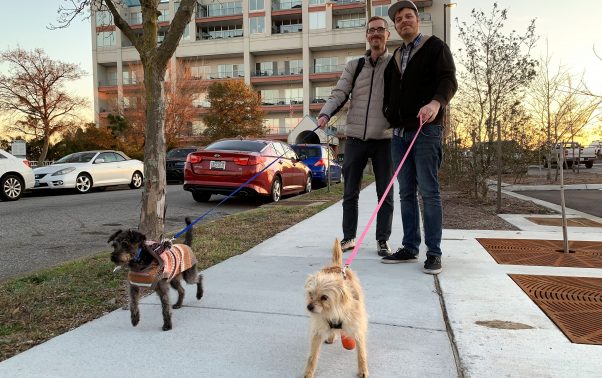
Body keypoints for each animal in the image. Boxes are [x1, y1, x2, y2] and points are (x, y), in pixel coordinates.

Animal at [302, 239, 368, 378]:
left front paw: (363, 370)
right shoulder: (318, 331)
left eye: (324, 297)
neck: (333, 311)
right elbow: (312, 356)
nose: (309, 307)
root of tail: (337, 266)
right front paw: (308, 372)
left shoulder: (357, 329)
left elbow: (361, 354)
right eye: (310, 294)